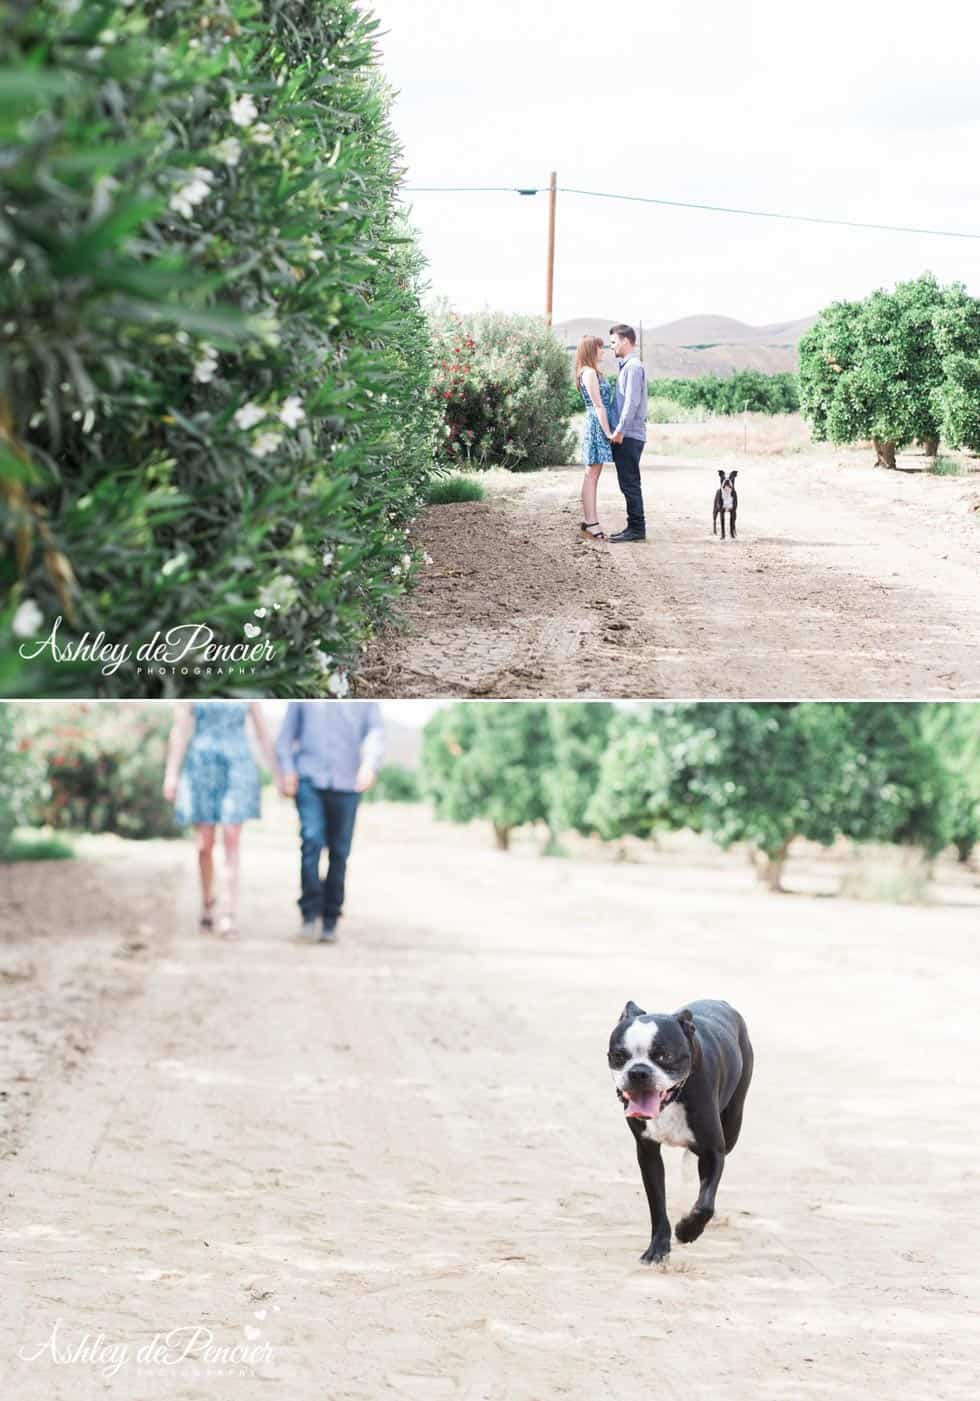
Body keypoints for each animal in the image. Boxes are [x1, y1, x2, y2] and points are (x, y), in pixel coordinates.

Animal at [607, 1003, 756, 1266]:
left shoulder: (713, 1151)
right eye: (619, 1056)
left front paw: (687, 1231)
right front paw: (657, 1249)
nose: (638, 1072)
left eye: (665, 1056)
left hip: (733, 1126)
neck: (673, 1099)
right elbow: (657, 1205)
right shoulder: (648, 1154)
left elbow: (705, 1205)